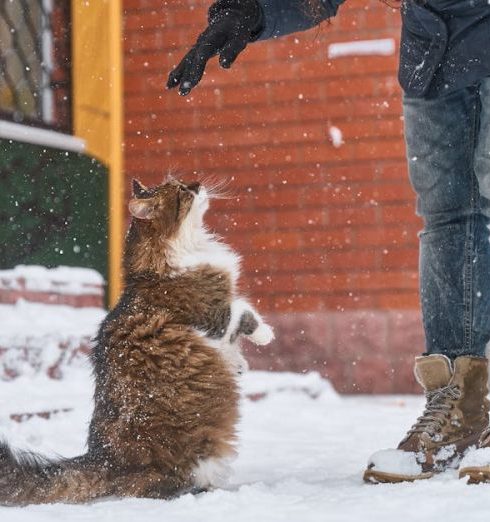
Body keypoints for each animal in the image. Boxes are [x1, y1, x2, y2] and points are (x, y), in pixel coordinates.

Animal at [0, 177, 274, 502]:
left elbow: (234, 336)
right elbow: (244, 312)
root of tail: (102, 459)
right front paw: (265, 336)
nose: (197, 184)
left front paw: (239, 363)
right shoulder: (214, 316)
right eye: (182, 193)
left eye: (180, 183)